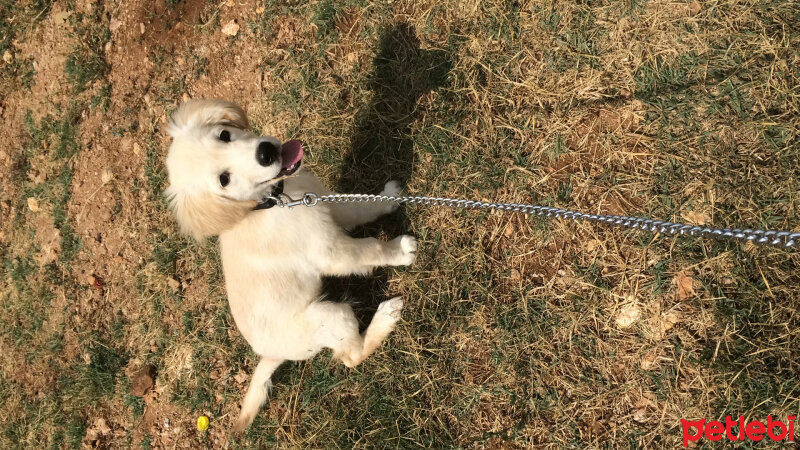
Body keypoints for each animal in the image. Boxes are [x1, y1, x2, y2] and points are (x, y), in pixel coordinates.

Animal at [164, 99, 418, 432]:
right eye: (224, 179)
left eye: (224, 135)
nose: (266, 153)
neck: (273, 201)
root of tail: (270, 354)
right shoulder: (330, 252)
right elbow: (372, 248)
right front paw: (400, 251)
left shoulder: (324, 202)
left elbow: (361, 207)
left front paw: (387, 198)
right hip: (330, 315)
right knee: (351, 357)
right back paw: (386, 316)